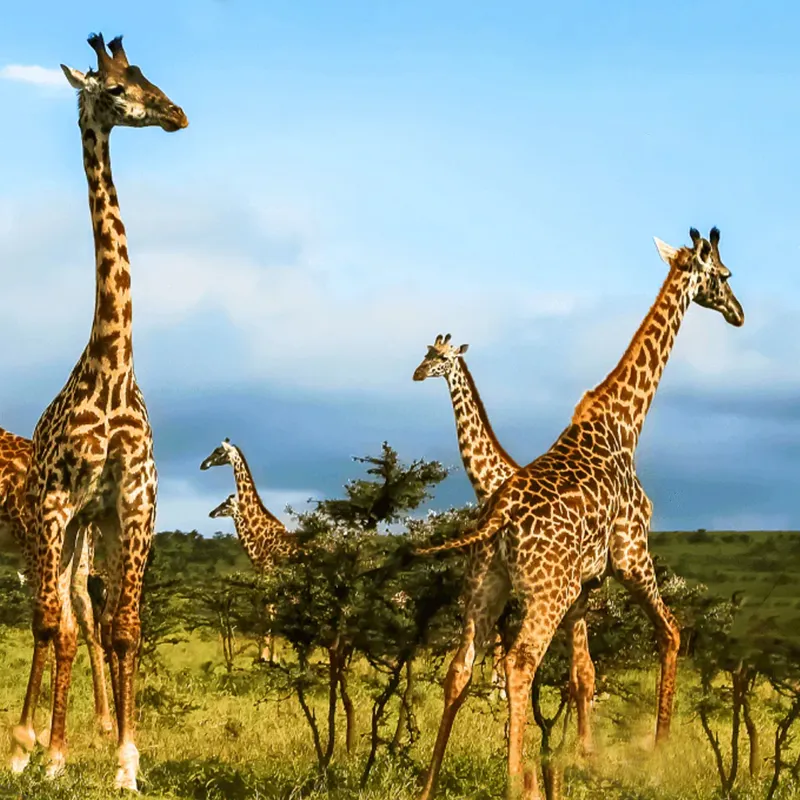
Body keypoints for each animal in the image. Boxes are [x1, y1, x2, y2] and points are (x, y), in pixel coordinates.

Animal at [202, 440, 297, 661]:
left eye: (218, 451)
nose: (203, 464)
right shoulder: (262, 576)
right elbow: (267, 612)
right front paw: (269, 656)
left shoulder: (267, 572)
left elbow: (269, 612)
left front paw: (266, 657)